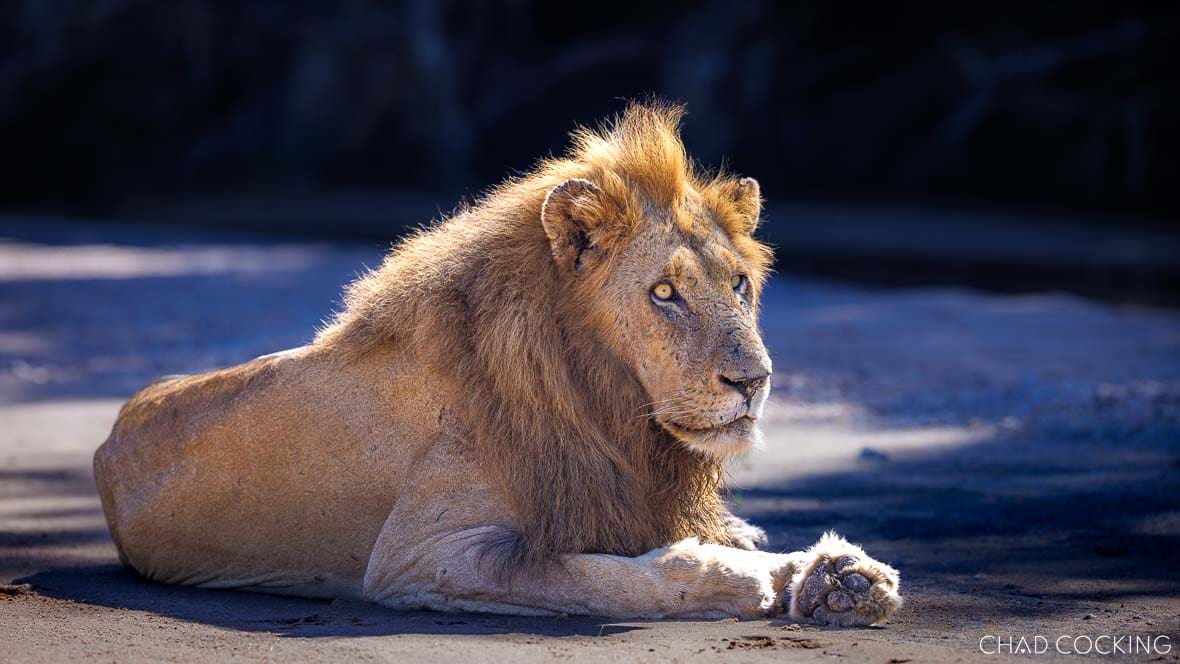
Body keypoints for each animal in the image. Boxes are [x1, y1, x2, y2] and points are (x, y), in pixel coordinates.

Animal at [93, 101, 902, 624]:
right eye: (665, 293)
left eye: (739, 283)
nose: (753, 382)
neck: (607, 407)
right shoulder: (419, 557)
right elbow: (603, 579)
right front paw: (742, 578)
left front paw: (837, 578)